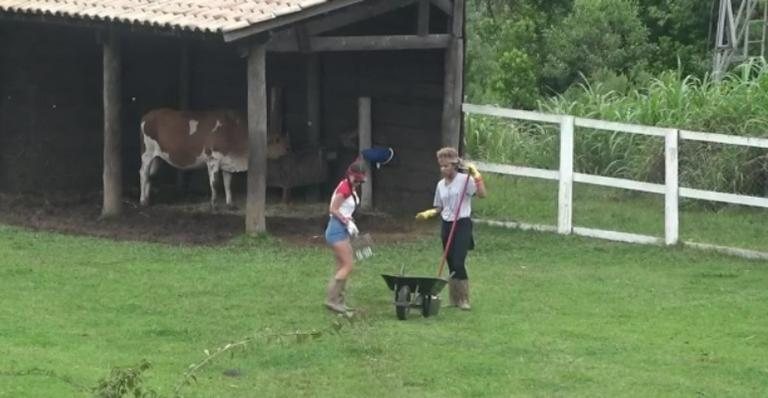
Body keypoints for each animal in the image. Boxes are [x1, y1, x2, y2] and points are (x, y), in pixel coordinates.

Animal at [139, 109, 288, 208]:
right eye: (278, 141)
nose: (288, 150)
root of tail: (147, 116)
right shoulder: (213, 159)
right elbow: (215, 183)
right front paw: (214, 204)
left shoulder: (228, 162)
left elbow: (228, 183)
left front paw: (230, 203)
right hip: (147, 152)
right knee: (143, 173)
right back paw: (142, 200)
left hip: (157, 156)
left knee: (151, 175)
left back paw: (148, 199)